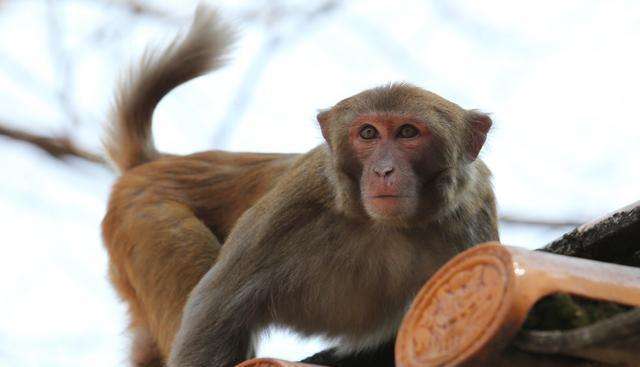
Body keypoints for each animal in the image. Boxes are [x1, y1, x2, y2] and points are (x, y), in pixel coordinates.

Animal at [101, 5, 500, 367]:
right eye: (368, 133)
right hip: (147, 216)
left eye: (407, 132)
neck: (387, 228)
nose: (384, 170)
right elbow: (214, 313)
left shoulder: (473, 218)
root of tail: (156, 161)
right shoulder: (291, 208)